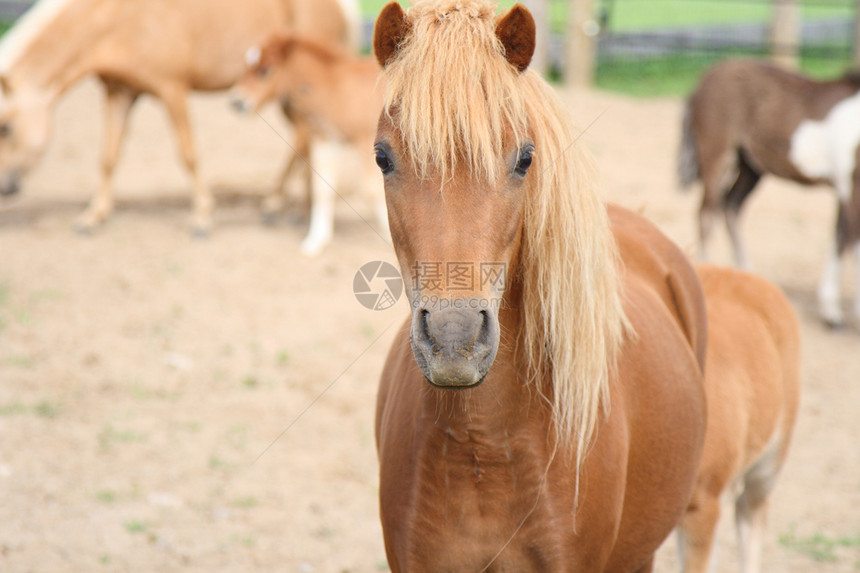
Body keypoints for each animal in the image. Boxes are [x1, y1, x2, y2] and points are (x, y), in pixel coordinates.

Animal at [0, 0, 358, 235]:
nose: (5, 189)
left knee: (303, 137)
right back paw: (298, 208)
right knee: (304, 140)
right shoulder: (118, 93)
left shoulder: (171, 89)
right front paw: (93, 216)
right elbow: (108, 157)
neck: (117, 18)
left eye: (5, 128)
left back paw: (279, 205)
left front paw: (202, 216)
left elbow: (187, 153)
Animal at [232, 36, 386, 256]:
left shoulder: (364, 140)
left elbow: (371, 190)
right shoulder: (325, 140)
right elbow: (322, 189)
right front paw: (316, 240)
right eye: (246, 67)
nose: (236, 102)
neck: (337, 88)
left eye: (265, 70)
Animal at [680, 59, 860, 326]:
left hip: (750, 167)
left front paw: (831, 312)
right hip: (718, 156)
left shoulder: (842, 187)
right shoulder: (850, 185)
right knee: (707, 213)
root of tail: (703, 81)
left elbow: (839, 238)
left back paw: (747, 278)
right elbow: (849, 241)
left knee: (730, 207)